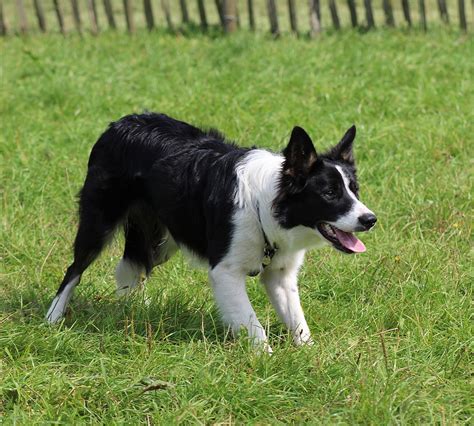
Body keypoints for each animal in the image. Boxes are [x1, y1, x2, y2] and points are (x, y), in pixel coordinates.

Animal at [45, 113, 378, 352]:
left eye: (355, 190)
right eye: (330, 193)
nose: (370, 219)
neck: (267, 206)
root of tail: (120, 124)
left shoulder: (280, 274)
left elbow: (297, 320)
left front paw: (310, 356)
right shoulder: (226, 272)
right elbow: (252, 324)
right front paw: (267, 361)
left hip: (164, 238)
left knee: (128, 268)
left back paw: (134, 307)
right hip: (99, 223)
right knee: (74, 270)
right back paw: (53, 318)